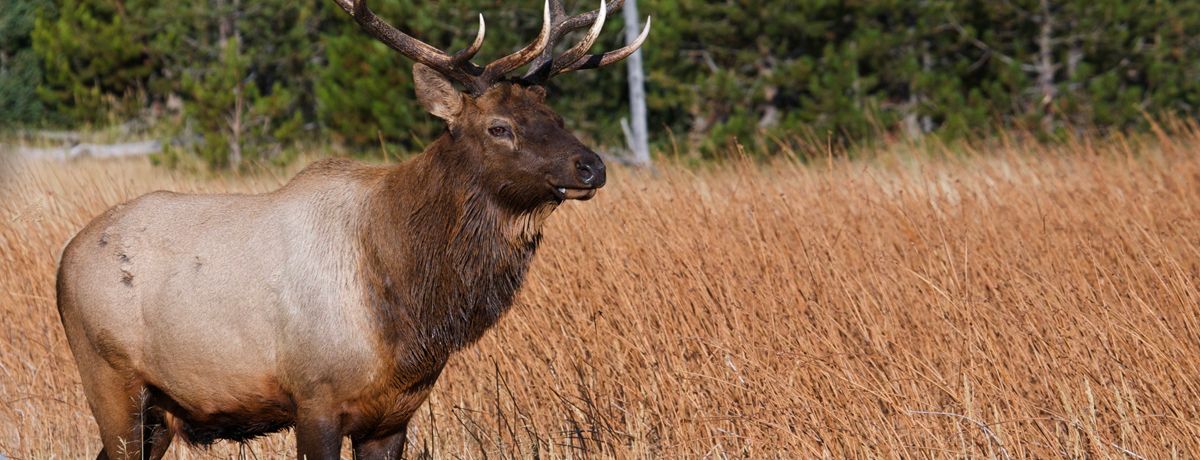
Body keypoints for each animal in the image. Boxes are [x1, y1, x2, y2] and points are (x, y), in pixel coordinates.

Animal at [55, 1, 652, 458]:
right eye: (498, 127)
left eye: (556, 117)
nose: (591, 166)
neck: (409, 311)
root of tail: (65, 259)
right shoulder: (315, 398)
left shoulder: (392, 417)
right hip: (108, 377)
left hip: (159, 409)